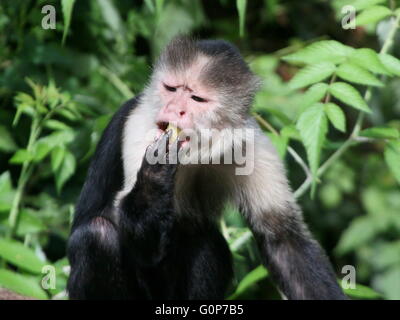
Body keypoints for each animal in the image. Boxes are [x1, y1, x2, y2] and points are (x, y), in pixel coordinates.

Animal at [66, 37, 346, 300]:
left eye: (196, 98)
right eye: (170, 88)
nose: (173, 109)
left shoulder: (253, 144)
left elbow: (284, 241)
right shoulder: (138, 126)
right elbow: (141, 245)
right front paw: (156, 172)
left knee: (202, 237)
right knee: (97, 235)